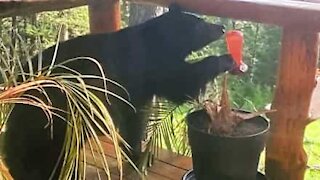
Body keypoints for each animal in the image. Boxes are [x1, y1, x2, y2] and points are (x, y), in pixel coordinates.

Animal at [3, 4, 236, 179]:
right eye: (201, 23)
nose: (221, 27)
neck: (158, 41)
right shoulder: (149, 64)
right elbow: (181, 81)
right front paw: (225, 59)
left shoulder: (138, 89)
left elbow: (136, 118)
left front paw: (138, 154)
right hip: (56, 108)